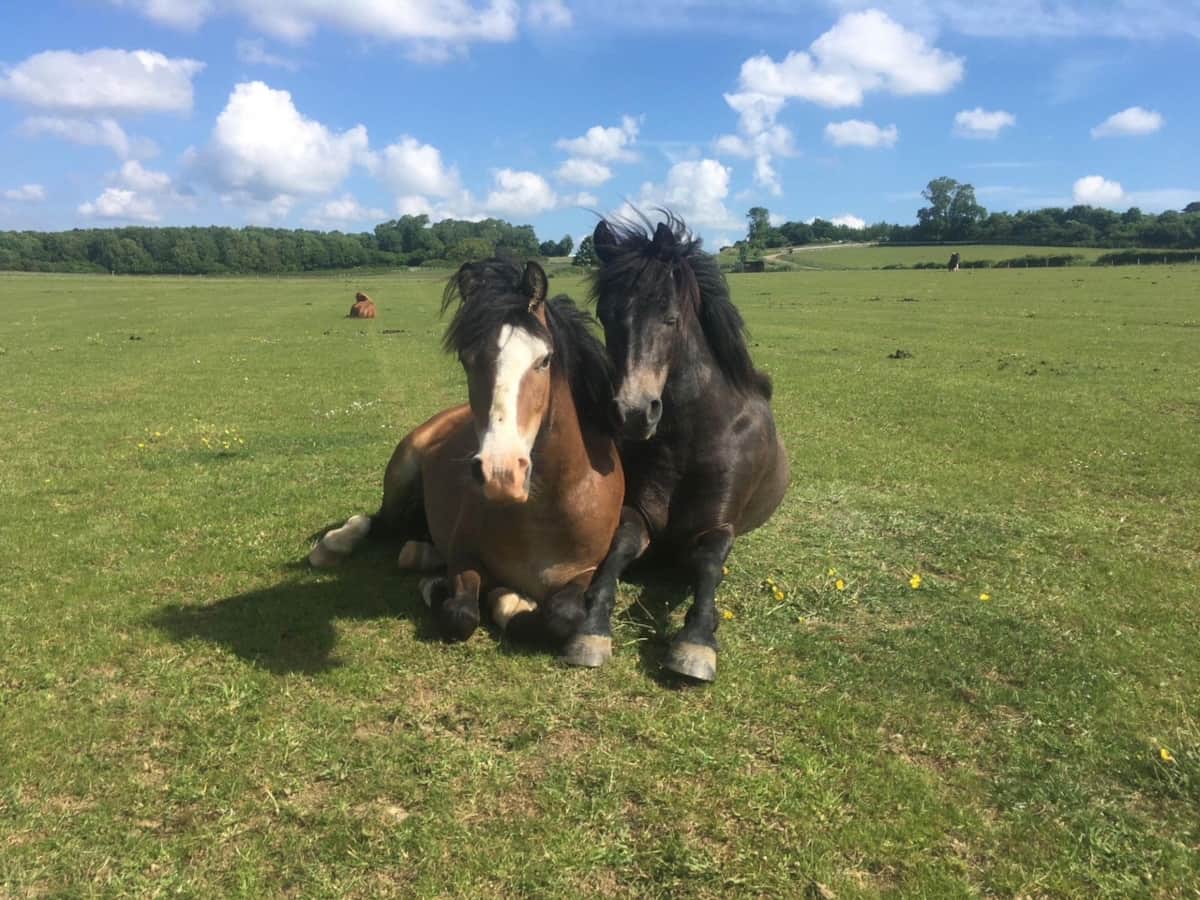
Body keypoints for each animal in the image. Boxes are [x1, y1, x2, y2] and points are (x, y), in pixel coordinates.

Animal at [311, 260, 624, 645]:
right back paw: (334, 545)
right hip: (401, 474)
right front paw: (453, 590)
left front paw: (509, 600)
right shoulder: (462, 556)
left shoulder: (585, 571)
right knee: (381, 520)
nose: (502, 474)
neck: (549, 509)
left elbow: (562, 617)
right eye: (466, 359)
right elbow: (460, 615)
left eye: (545, 359)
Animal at [561, 213, 789, 682]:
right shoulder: (637, 513)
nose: (633, 413)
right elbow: (617, 550)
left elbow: (708, 568)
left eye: (669, 315)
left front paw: (696, 641)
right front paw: (592, 630)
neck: (689, 438)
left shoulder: (717, 529)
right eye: (606, 315)